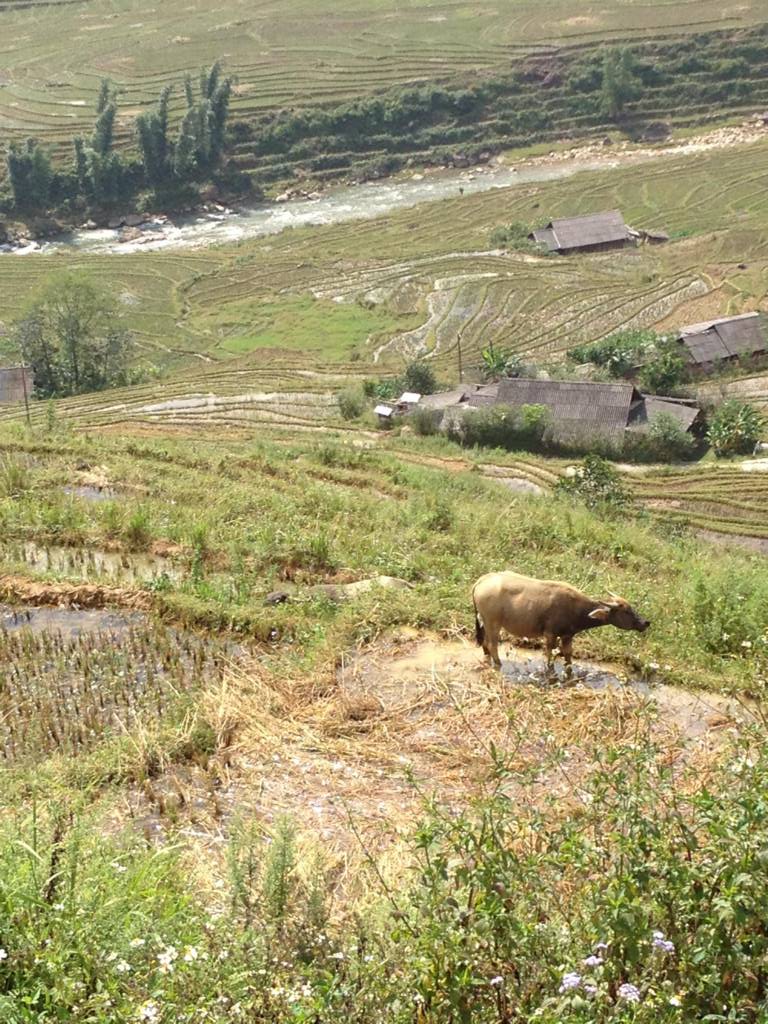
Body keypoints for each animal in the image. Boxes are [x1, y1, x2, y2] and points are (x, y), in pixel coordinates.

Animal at [472, 571, 650, 672]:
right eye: (626, 611)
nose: (645, 622)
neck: (577, 609)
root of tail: (482, 580)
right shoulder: (550, 634)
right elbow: (550, 655)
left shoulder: (568, 635)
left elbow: (568, 655)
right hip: (493, 623)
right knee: (493, 644)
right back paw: (498, 663)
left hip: (484, 621)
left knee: (486, 643)